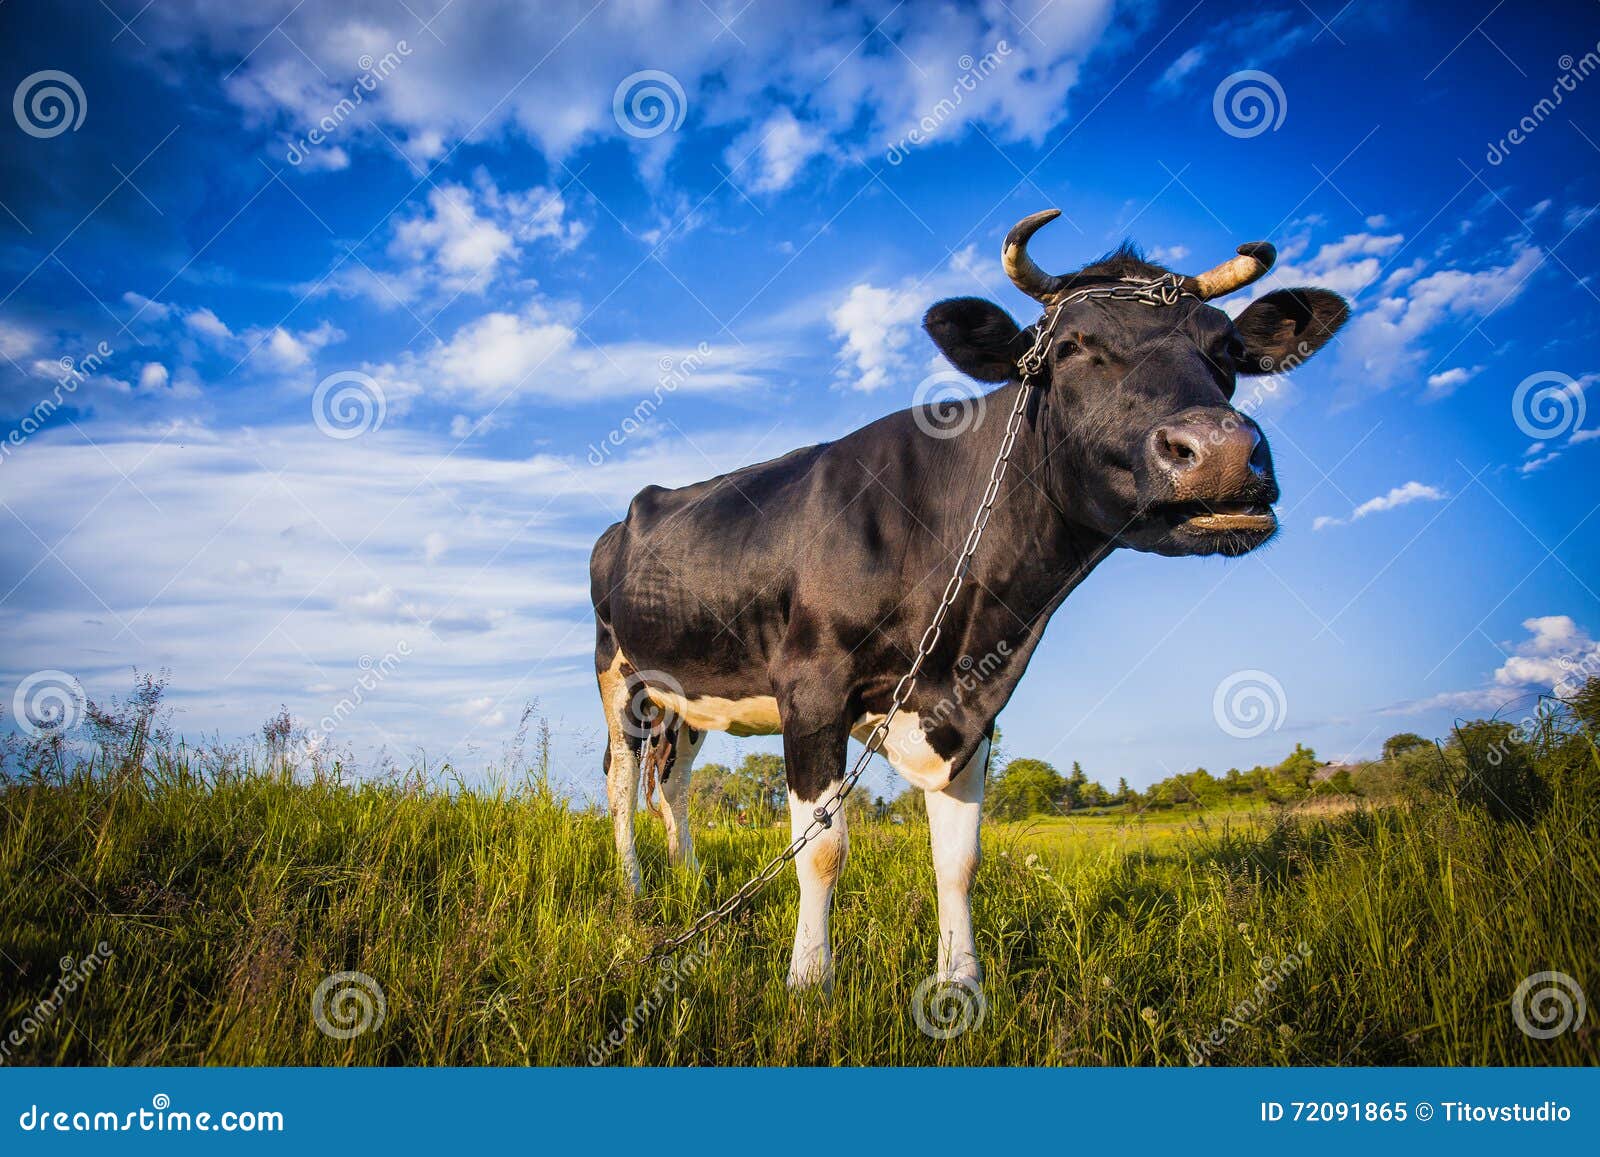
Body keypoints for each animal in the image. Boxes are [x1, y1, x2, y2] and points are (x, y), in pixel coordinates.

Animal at [589, 208, 1349, 991]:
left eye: (1227, 348)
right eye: (1070, 347)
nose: (1221, 451)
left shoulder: (973, 701)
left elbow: (959, 859)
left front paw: (961, 982)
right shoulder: (812, 684)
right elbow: (823, 849)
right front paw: (809, 982)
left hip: (690, 691)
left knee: (673, 783)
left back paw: (689, 878)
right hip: (620, 675)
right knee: (621, 783)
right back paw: (636, 890)